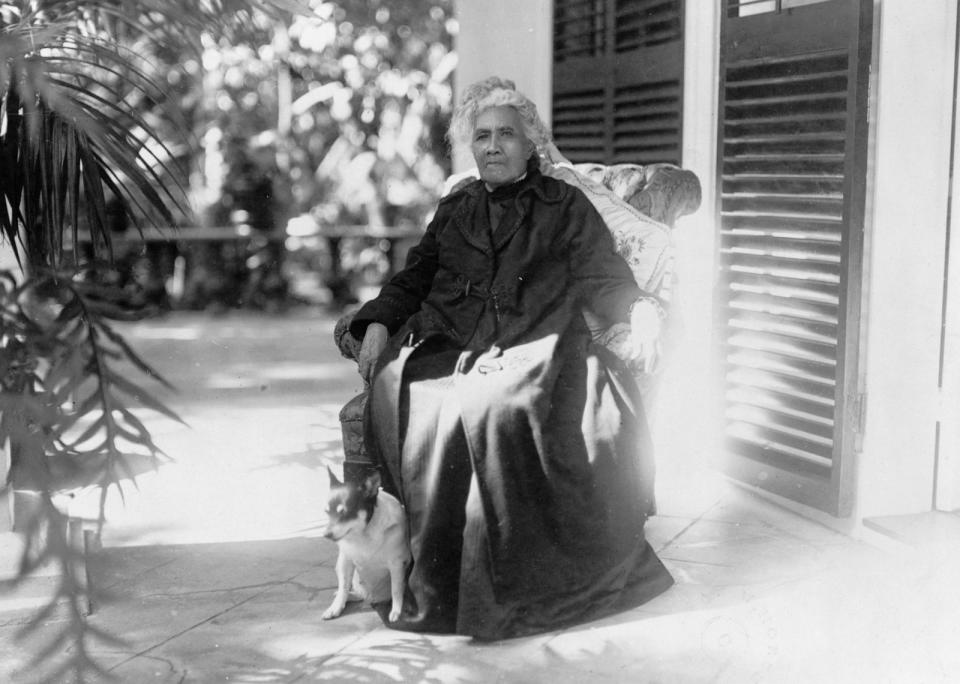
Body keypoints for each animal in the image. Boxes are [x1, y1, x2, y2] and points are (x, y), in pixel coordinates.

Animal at [324, 468, 410, 624]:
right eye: (326, 512)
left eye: (345, 513)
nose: (326, 534)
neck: (362, 534)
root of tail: (371, 599)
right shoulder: (346, 562)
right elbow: (343, 586)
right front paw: (335, 607)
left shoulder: (396, 565)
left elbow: (396, 589)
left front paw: (396, 611)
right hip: (342, 568)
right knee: (348, 590)